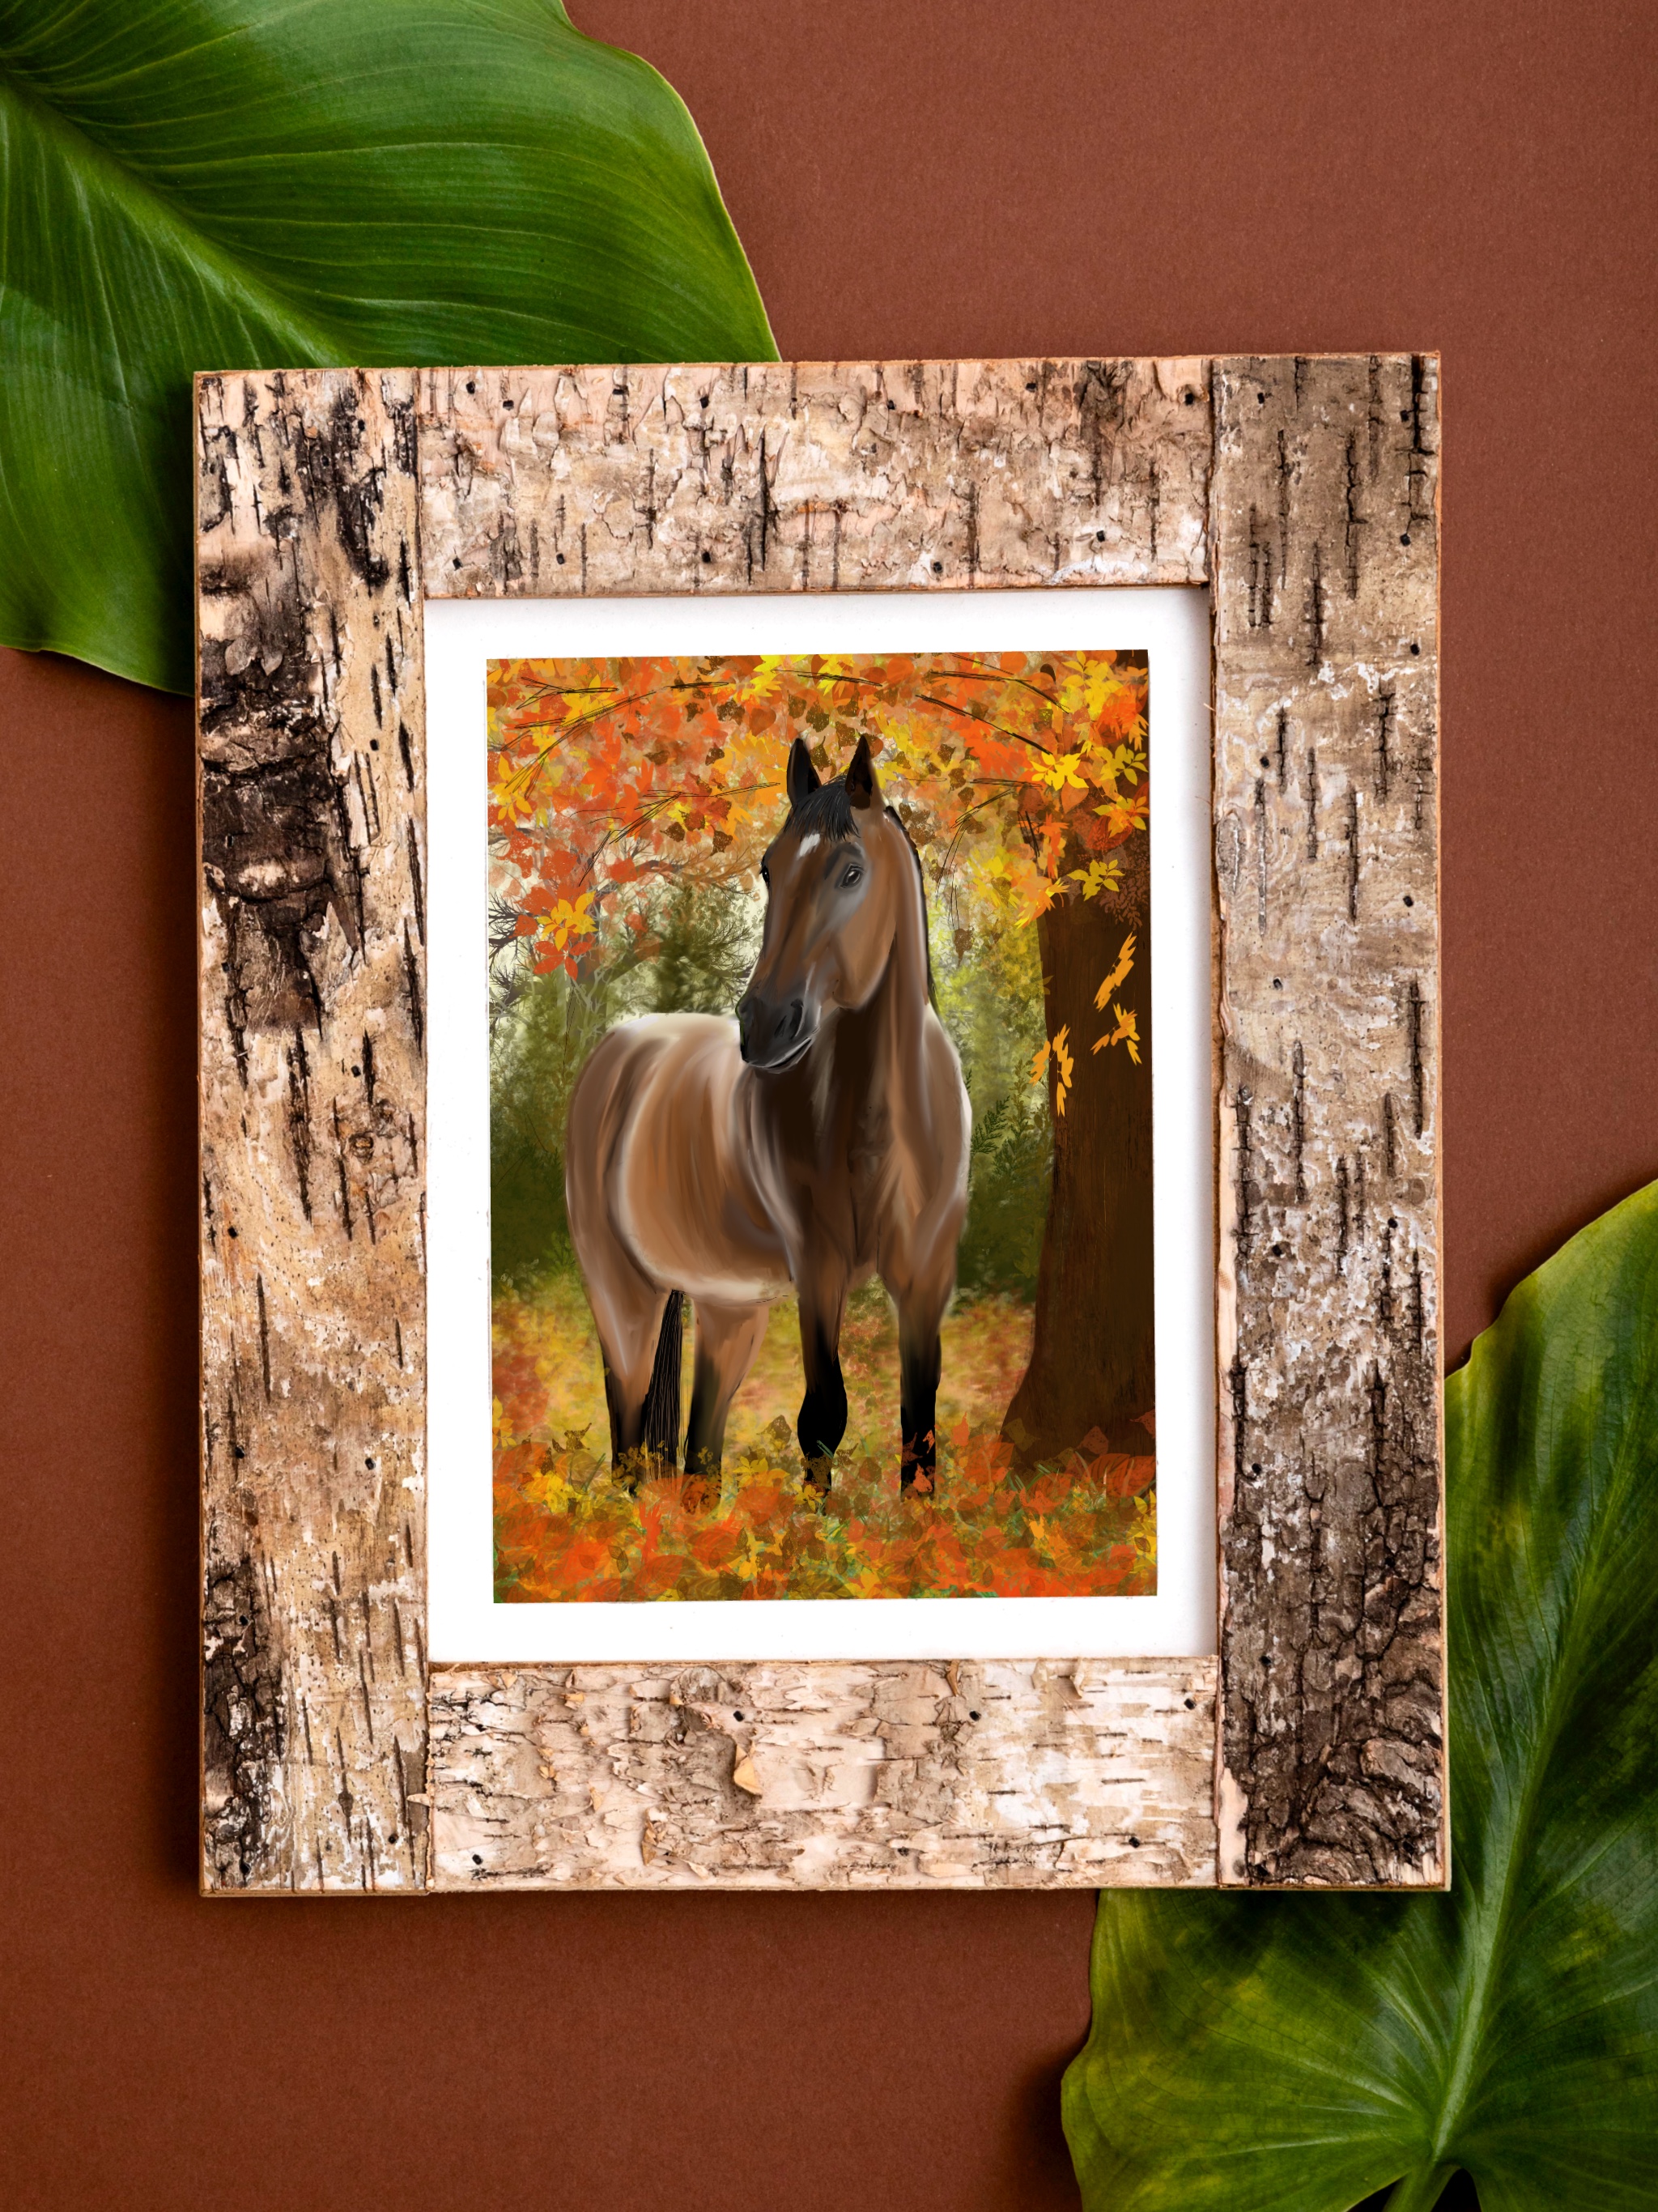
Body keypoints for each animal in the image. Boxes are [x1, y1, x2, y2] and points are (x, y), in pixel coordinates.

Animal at [564, 733, 970, 1497]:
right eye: (768, 868)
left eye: (851, 872)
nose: (762, 1025)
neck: (883, 1126)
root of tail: (620, 1048)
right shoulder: (818, 1268)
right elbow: (823, 1420)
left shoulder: (927, 1277)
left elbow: (920, 1432)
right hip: (623, 1295)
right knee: (628, 1436)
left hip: (729, 1311)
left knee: (701, 1459)